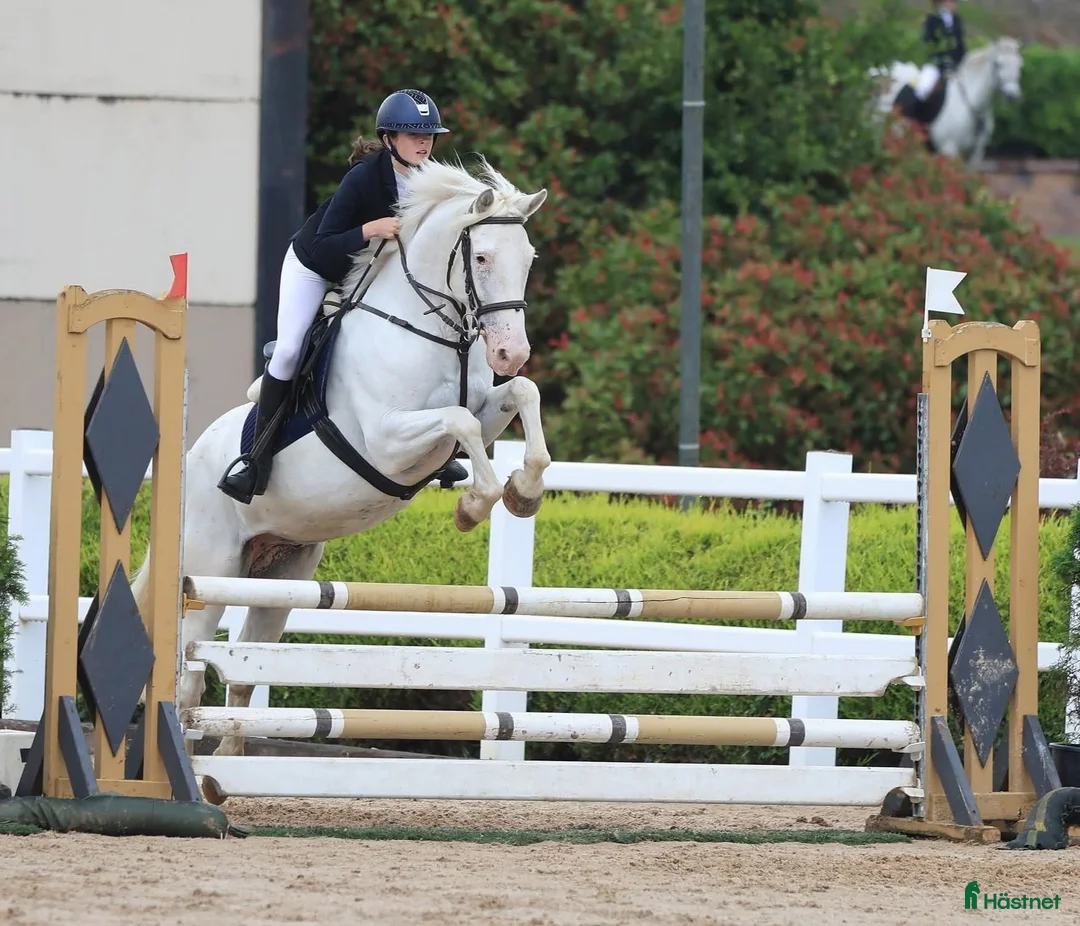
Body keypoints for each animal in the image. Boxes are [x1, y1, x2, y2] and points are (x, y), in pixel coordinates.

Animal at [131, 156, 551, 760]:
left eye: (529, 260)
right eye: (481, 257)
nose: (509, 352)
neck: (425, 328)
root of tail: (189, 465)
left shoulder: (480, 408)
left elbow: (521, 394)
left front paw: (524, 492)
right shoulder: (387, 442)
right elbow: (461, 422)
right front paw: (474, 505)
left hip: (279, 575)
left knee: (246, 668)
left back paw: (223, 772)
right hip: (210, 572)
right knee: (189, 675)